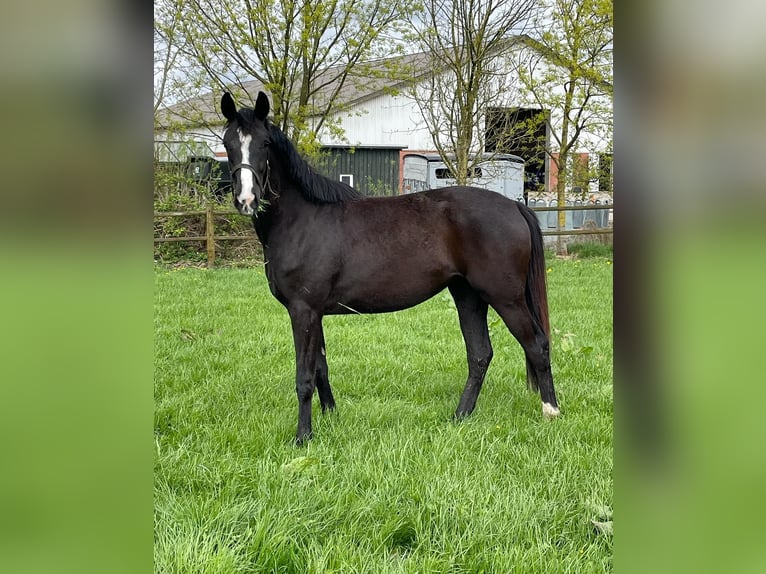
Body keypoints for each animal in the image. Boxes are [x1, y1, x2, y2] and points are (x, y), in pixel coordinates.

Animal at [219, 91, 560, 446]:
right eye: (228, 143)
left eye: (264, 143)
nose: (246, 199)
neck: (303, 219)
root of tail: (514, 206)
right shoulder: (315, 312)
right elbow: (321, 368)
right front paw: (330, 417)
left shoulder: (303, 310)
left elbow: (304, 377)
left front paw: (303, 437)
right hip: (468, 295)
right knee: (480, 354)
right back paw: (459, 416)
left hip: (506, 298)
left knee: (537, 345)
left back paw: (550, 411)